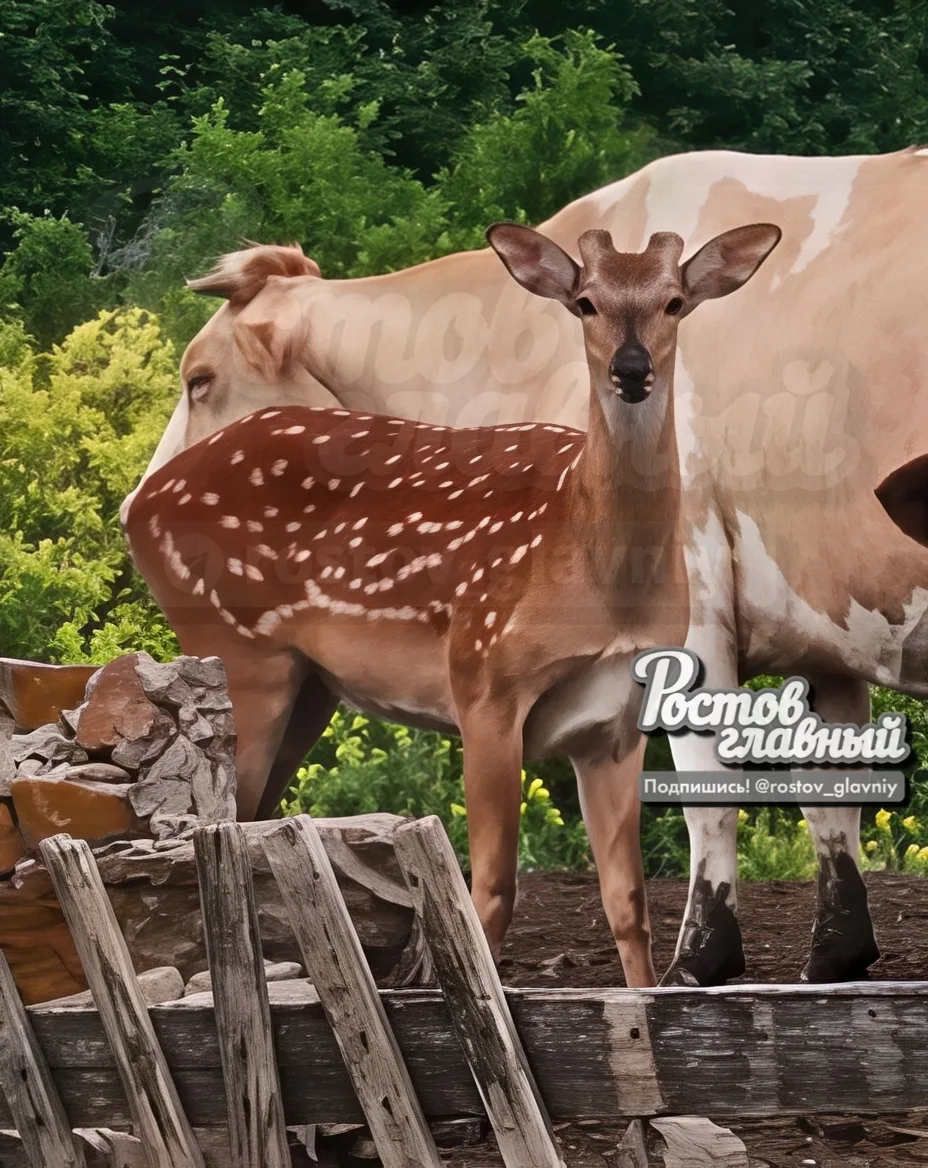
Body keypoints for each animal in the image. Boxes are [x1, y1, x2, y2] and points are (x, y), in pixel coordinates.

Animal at [125, 147, 928, 986]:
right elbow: (826, 800)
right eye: (584, 304)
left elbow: (711, 800)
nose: (125, 511)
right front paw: (823, 953)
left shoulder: (701, 591)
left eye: (198, 377)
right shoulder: (816, 631)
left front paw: (702, 961)